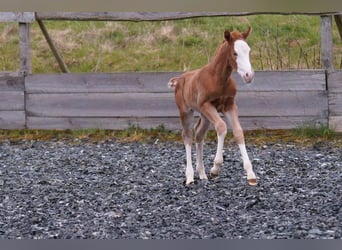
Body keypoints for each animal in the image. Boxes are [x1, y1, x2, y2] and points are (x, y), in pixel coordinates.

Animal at [168, 28, 256, 187]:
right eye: (235, 53)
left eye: (248, 50)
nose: (249, 75)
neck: (218, 78)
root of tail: (179, 80)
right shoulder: (206, 105)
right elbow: (222, 127)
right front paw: (215, 169)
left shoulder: (229, 106)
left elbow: (238, 132)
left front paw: (251, 175)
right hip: (186, 111)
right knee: (187, 135)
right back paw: (190, 177)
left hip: (205, 116)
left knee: (199, 134)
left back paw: (202, 174)